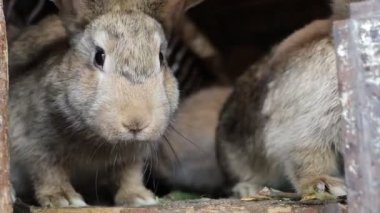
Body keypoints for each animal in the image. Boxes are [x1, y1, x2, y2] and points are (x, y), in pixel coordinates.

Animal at [8, 0, 203, 208]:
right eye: (99, 56)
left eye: (161, 58)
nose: (136, 123)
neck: (96, 138)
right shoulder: (37, 143)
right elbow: (48, 172)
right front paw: (64, 199)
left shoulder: (133, 156)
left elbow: (130, 174)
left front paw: (140, 197)